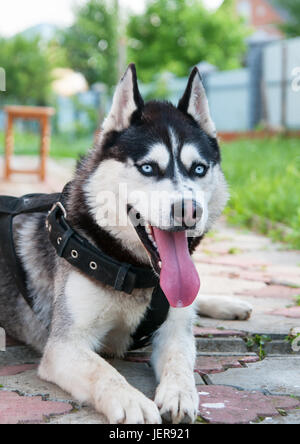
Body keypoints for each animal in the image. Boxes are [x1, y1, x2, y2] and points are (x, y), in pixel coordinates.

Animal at [0, 65, 253, 424]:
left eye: (198, 169)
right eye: (148, 167)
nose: (190, 210)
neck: (133, 271)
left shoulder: (175, 330)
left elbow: (180, 362)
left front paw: (179, 393)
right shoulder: (65, 345)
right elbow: (103, 371)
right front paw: (131, 400)